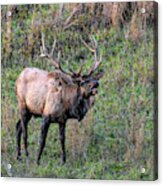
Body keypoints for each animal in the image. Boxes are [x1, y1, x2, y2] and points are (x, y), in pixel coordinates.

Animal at [15, 33, 103, 164]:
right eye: (83, 82)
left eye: (93, 78)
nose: (96, 83)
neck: (67, 104)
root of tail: (18, 77)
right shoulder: (46, 115)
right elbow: (42, 140)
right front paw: (38, 160)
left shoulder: (62, 119)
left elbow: (62, 140)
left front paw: (63, 160)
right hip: (22, 105)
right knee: (24, 131)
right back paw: (27, 155)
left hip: (31, 111)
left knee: (18, 126)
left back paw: (18, 156)